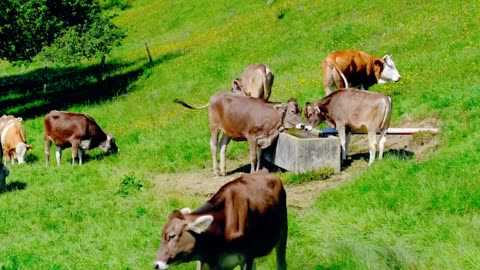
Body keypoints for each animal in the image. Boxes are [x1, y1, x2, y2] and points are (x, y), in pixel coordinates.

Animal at [174, 90, 304, 176]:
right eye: (292, 111)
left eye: (301, 111)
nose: (302, 125)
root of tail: (215, 95)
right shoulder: (252, 136)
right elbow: (253, 157)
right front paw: (252, 173)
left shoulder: (262, 138)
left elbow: (260, 156)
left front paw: (259, 172)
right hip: (214, 126)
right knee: (213, 145)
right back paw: (216, 171)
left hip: (228, 130)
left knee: (222, 145)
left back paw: (223, 170)